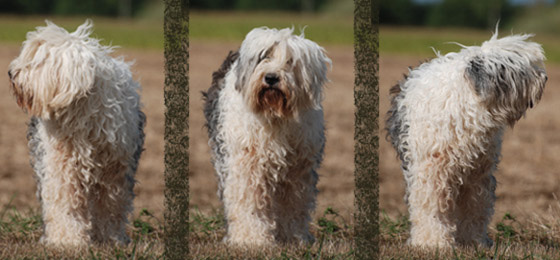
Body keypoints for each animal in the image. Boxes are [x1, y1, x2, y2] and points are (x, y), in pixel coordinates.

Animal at [7, 20, 145, 248]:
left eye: (36, 61)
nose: (10, 73)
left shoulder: (115, 171)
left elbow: (110, 206)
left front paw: (110, 239)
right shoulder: (61, 168)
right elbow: (65, 204)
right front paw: (68, 240)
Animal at [202, 27, 330, 247]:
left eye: (290, 61)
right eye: (264, 57)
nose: (271, 78)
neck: (275, 116)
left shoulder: (298, 170)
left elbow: (293, 205)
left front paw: (293, 238)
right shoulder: (246, 165)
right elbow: (248, 203)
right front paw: (251, 239)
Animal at [384, 32, 548, 248]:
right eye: (522, 69)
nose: (545, 78)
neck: (468, 100)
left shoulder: (477, 174)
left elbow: (475, 209)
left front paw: (474, 241)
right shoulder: (431, 171)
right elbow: (431, 208)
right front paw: (433, 243)